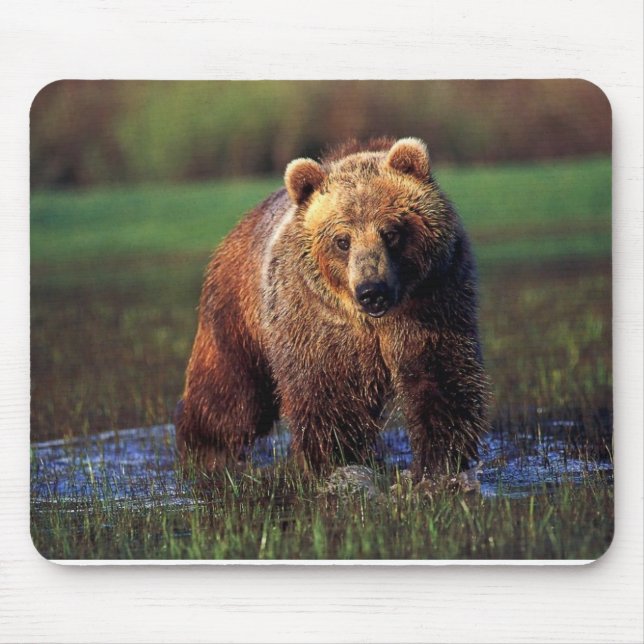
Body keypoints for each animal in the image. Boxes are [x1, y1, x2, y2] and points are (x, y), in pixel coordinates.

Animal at [175, 137, 489, 482]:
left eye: (391, 232)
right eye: (342, 240)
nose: (371, 291)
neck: (373, 321)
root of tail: (237, 229)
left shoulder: (432, 302)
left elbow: (439, 376)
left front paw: (440, 461)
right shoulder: (316, 321)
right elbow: (327, 393)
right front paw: (339, 460)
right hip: (236, 315)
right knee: (231, 394)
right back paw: (206, 453)